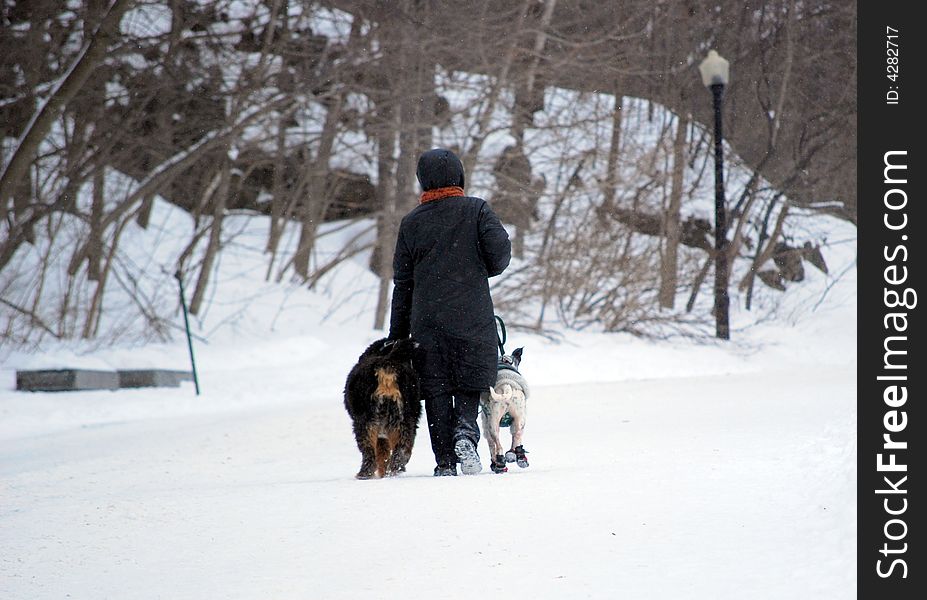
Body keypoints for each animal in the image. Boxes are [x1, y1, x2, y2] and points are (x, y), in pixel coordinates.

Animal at [344, 338, 424, 478]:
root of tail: (388, 363)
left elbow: (381, 454)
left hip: (365, 422)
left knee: (369, 453)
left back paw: (365, 474)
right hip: (403, 420)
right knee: (402, 448)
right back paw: (395, 469)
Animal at [482, 346, 524, 474]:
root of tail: (506, 385)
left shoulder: (485, 426)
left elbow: (491, 447)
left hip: (492, 424)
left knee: (499, 447)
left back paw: (499, 463)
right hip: (519, 419)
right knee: (517, 437)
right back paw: (517, 456)